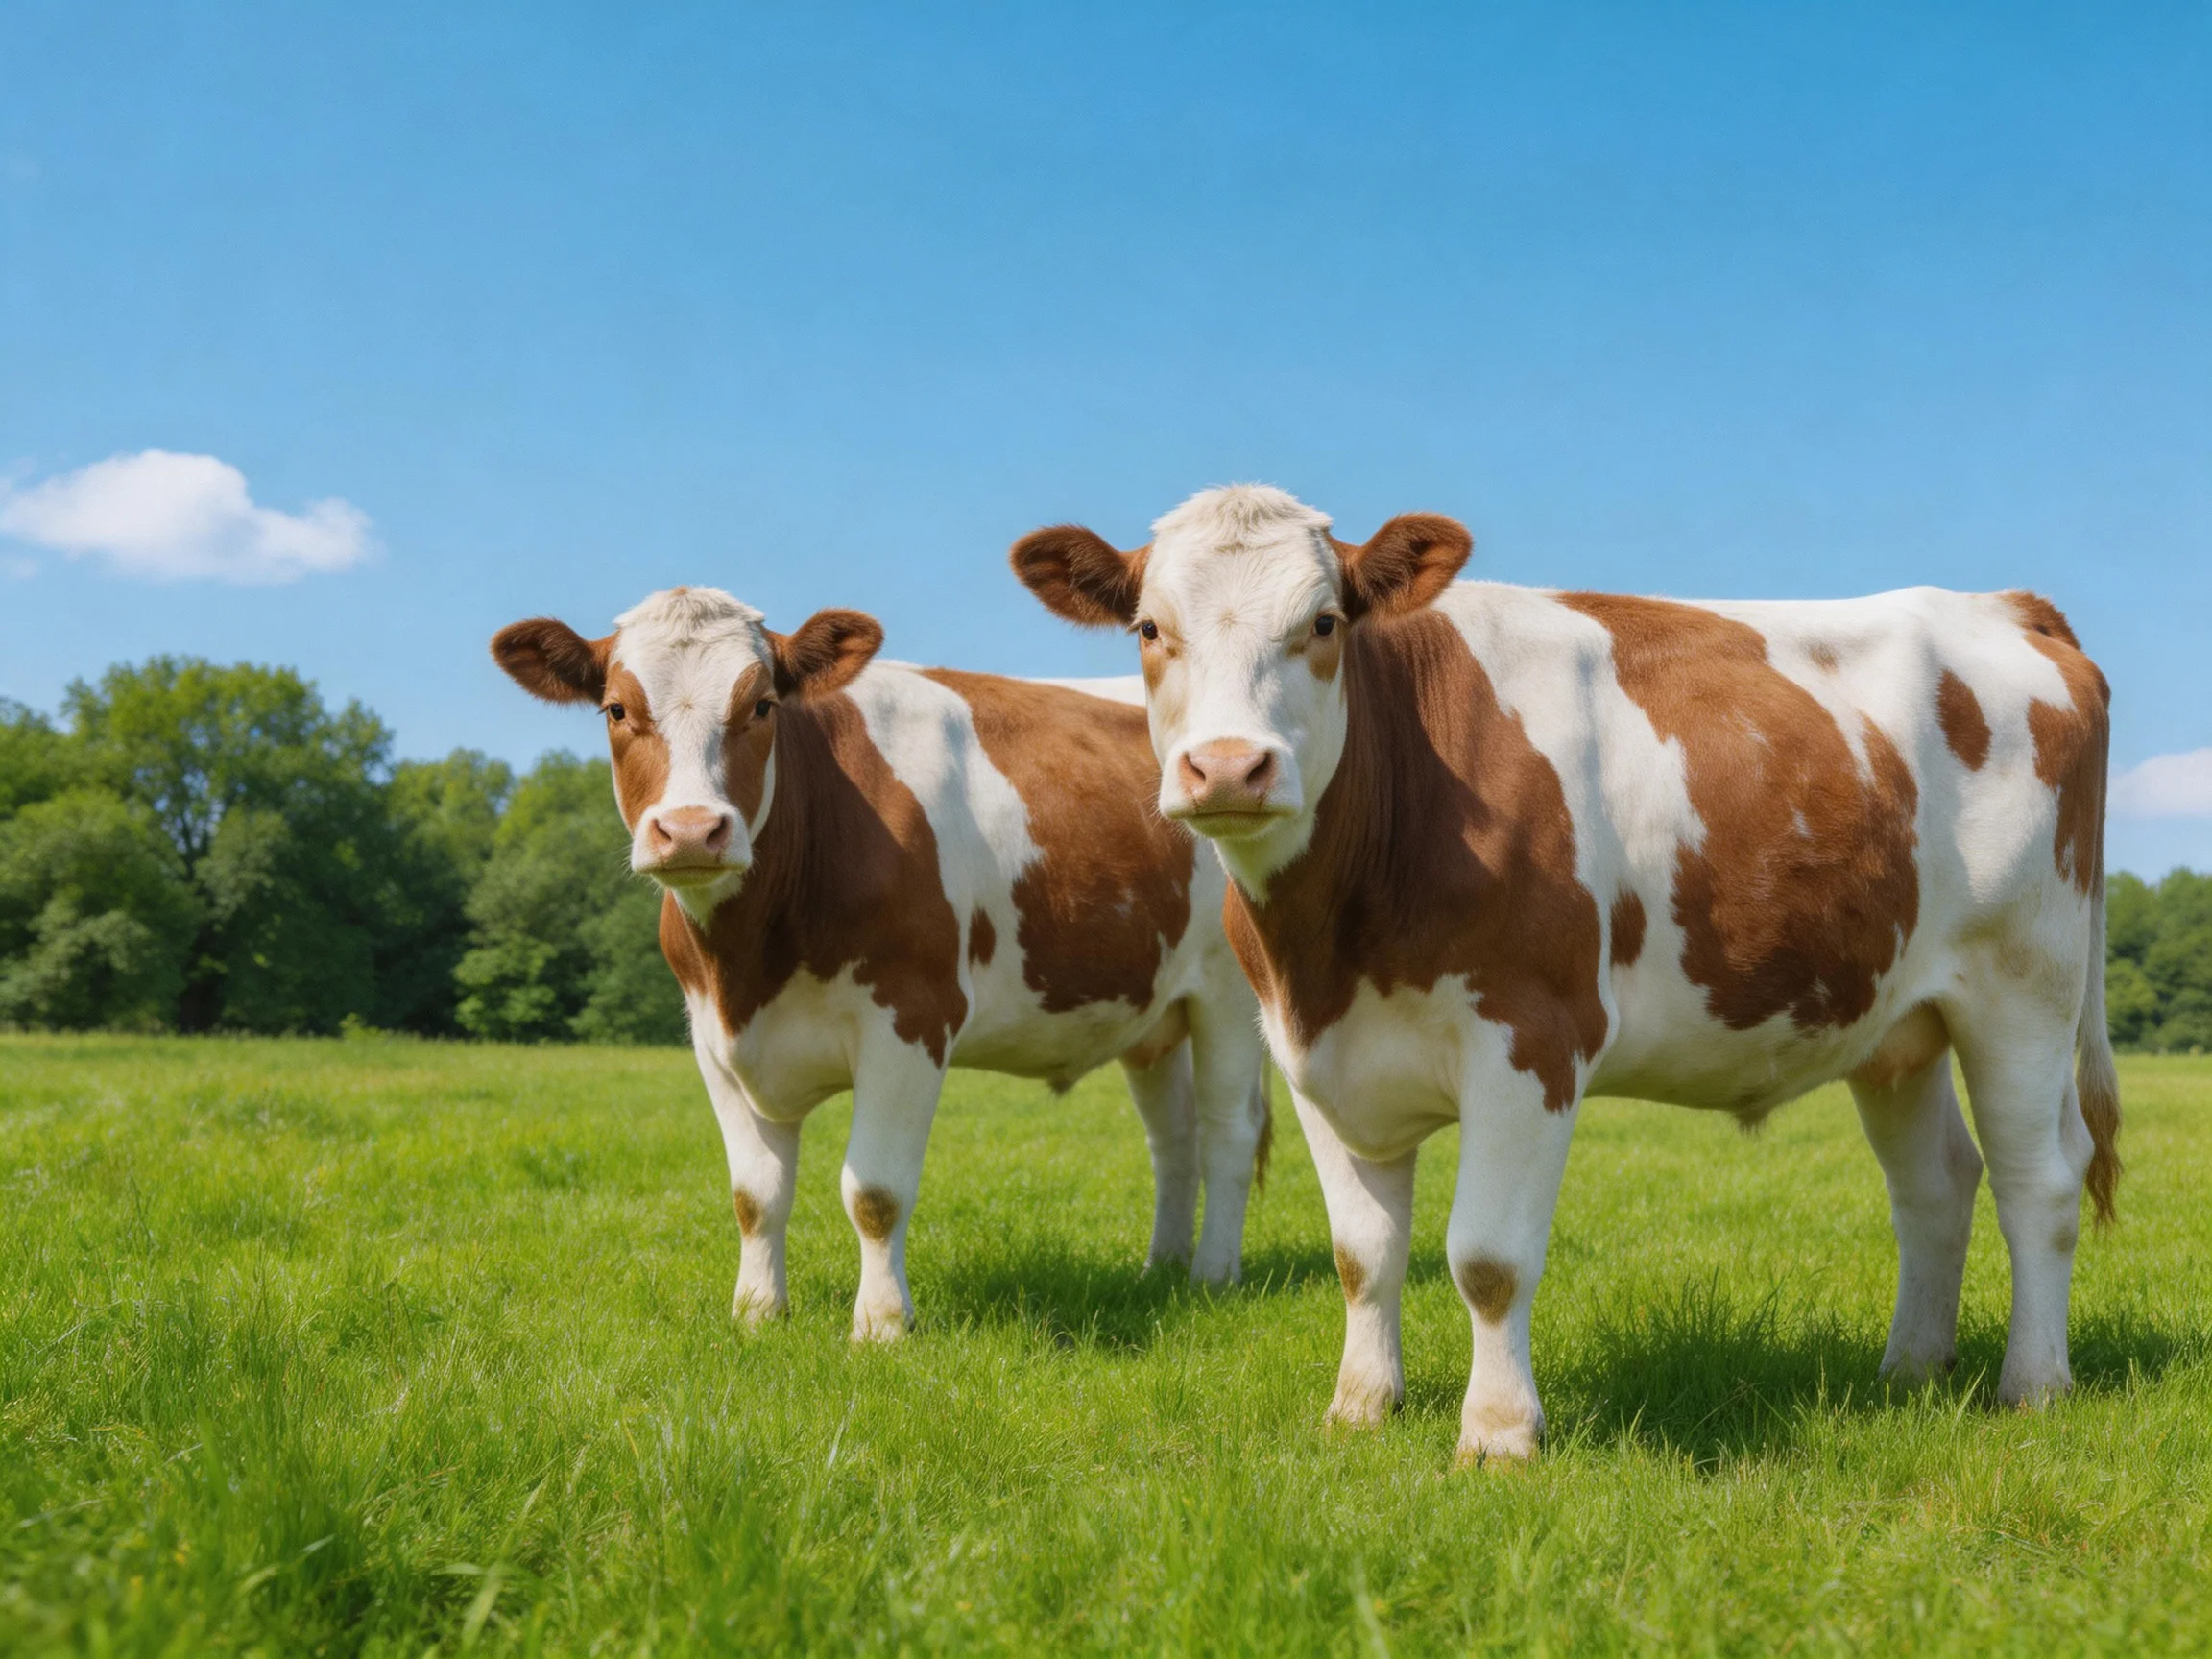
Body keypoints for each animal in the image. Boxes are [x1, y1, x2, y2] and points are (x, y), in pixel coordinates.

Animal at [491, 586, 1270, 1339]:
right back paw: (1160, 1268)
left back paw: (1213, 1276)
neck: (751, 962)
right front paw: (757, 1313)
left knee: (1229, 1133)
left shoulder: (912, 1018)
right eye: (616, 708)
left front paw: (882, 1324)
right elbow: (755, 1196)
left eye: (762, 705)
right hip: (1155, 1015)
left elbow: (875, 1192)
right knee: (1173, 1140)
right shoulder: (712, 1037)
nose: (689, 830)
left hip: (1229, 993)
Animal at [1013, 484, 2118, 1465]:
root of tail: (2001, 605)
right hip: (1897, 1023)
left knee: (2040, 1180)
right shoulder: (1314, 1055)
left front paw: (1499, 1435)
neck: (1334, 939)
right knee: (1937, 1183)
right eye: (1149, 629)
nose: (1230, 768)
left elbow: (1488, 1260)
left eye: (1323, 623)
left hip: (2024, 988)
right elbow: (1362, 1256)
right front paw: (1360, 1410)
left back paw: (2034, 1385)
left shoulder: (1531, 1037)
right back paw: (1911, 1369)